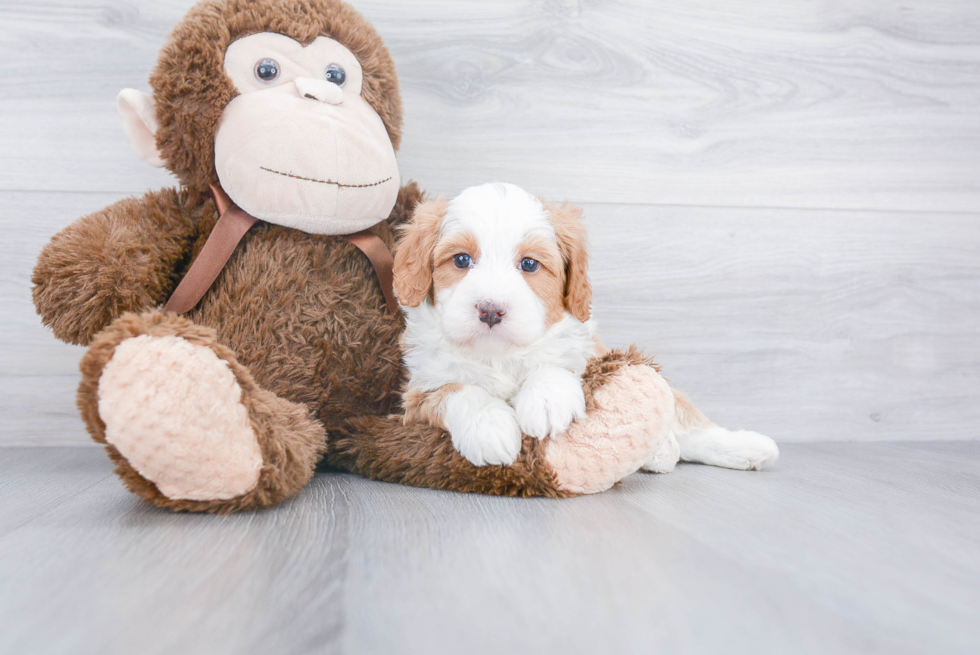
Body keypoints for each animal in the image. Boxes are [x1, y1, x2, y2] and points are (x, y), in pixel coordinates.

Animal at [392, 181, 592, 466]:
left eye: (529, 264)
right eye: (461, 260)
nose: (490, 311)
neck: (497, 355)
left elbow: (556, 361)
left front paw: (547, 398)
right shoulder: (419, 391)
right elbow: (459, 391)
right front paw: (489, 427)